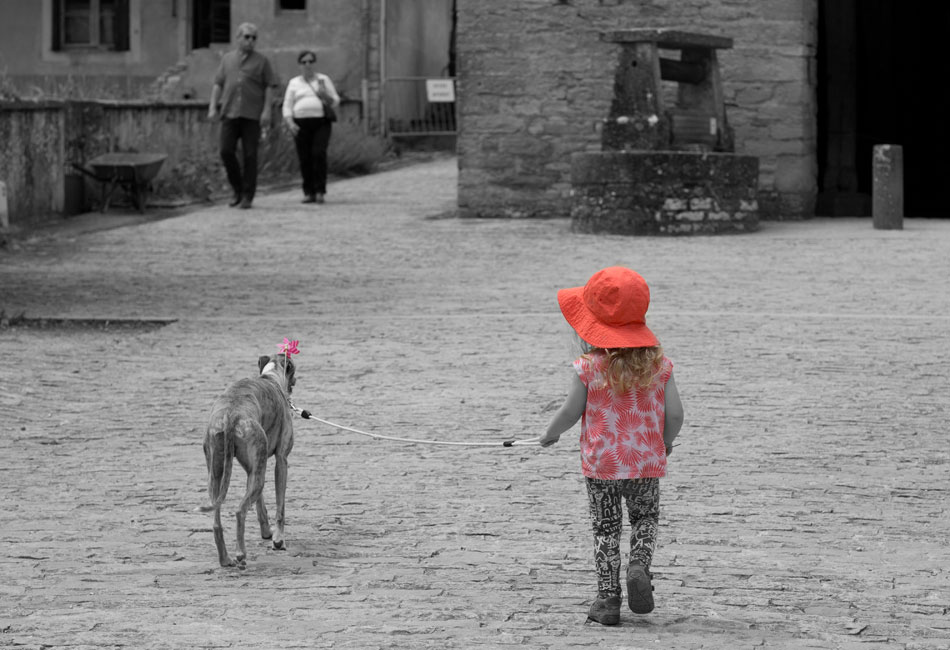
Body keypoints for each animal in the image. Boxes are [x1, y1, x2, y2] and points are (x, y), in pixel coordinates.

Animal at [197, 352, 294, 564]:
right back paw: (240, 554)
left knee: (216, 521)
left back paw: (225, 559)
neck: (270, 377)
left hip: (217, 475)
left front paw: (266, 532)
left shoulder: (253, 467)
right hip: (258, 473)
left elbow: (260, 504)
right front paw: (278, 540)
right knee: (240, 511)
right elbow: (280, 506)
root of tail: (230, 415)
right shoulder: (281, 461)